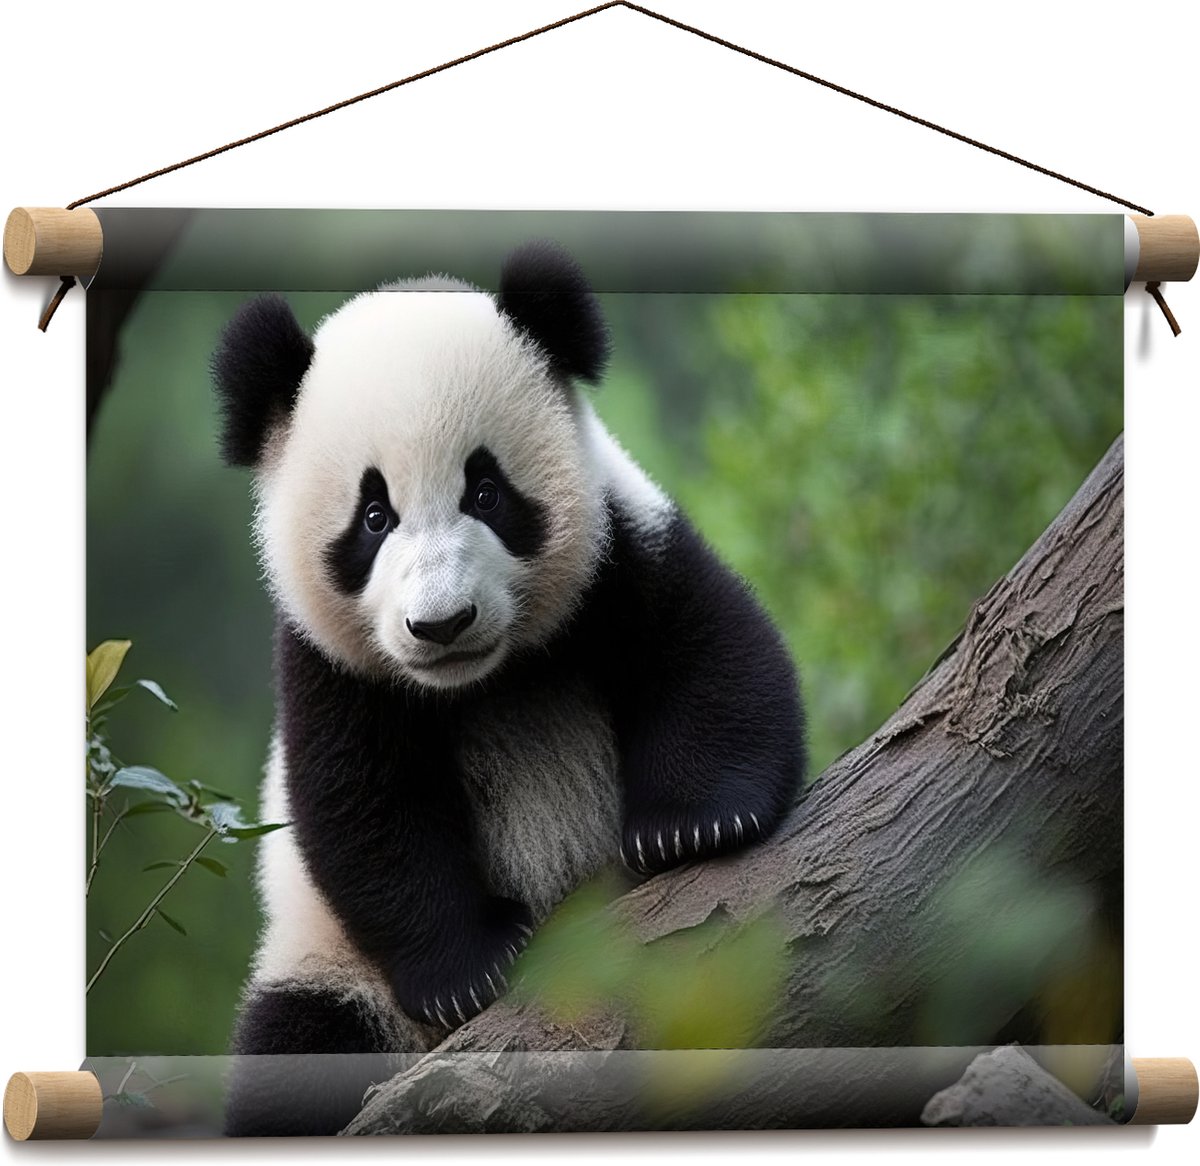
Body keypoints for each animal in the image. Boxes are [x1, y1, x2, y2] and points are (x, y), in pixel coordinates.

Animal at [212, 240, 805, 1135]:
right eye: (374, 517)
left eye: (485, 492)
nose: (442, 623)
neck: (485, 681)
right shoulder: (329, 666)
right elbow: (363, 807)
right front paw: (472, 970)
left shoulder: (619, 553)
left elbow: (709, 654)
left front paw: (693, 826)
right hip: (331, 971)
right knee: (298, 1044)